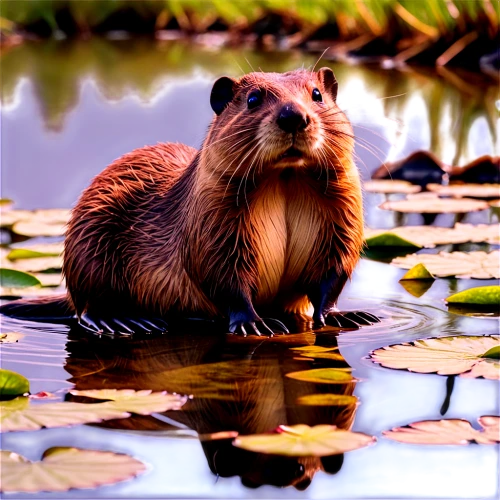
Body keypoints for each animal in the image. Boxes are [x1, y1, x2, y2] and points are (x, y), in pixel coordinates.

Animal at [0, 68, 376, 336]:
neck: (284, 182)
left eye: (317, 94)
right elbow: (220, 274)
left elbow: (334, 271)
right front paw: (256, 322)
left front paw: (348, 315)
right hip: (88, 239)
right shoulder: (211, 216)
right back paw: (127, 322)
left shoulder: (342, 211)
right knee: (87, 306)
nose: (293, 117)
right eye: (253, 98)